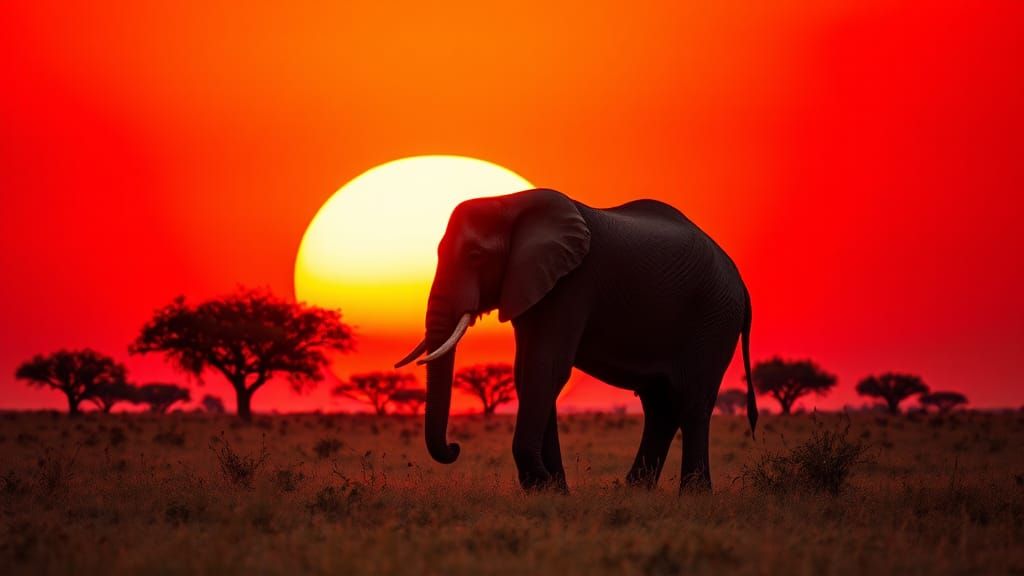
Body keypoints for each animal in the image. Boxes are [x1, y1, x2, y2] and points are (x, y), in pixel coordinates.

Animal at [395, 188, 757, 492]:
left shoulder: (572, 283)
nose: (455, 447)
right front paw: (551, 491)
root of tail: (739, 279)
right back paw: (634, 492)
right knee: (661, 405)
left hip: (713, 317)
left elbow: (546, 369)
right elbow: (526, 373)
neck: (510, 203)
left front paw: (543, 485)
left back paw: (693, 495)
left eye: (474, 255)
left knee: (692, 399)